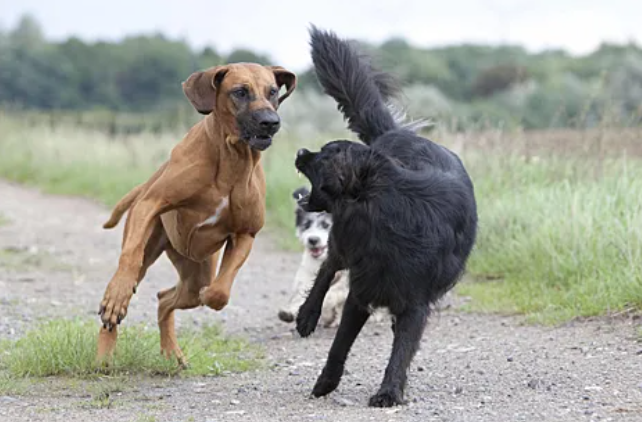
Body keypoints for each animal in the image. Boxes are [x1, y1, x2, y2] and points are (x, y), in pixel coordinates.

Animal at [95, 62, 296, 366]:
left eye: (272, 91)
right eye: (240, 92)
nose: (270, 121)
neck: (232, 158)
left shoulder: (245, 234)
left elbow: (220, 293)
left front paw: (212, 295)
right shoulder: (150, 204)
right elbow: (129, 257)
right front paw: (117, 296)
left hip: (196, 270)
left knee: (167, 298)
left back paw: (171, 350)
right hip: (151, 239)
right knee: (129, 293)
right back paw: (104, 352)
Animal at [294, 27, 476, 408]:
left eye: (323, 156)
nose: (300, 151)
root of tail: (396, 134)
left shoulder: (414, 304)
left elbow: (402, 349)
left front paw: (390, 390)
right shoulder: (361, 293)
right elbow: (340, 345)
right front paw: (326, 383)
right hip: (343, 245)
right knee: (328, 265)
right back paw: (307, 315)